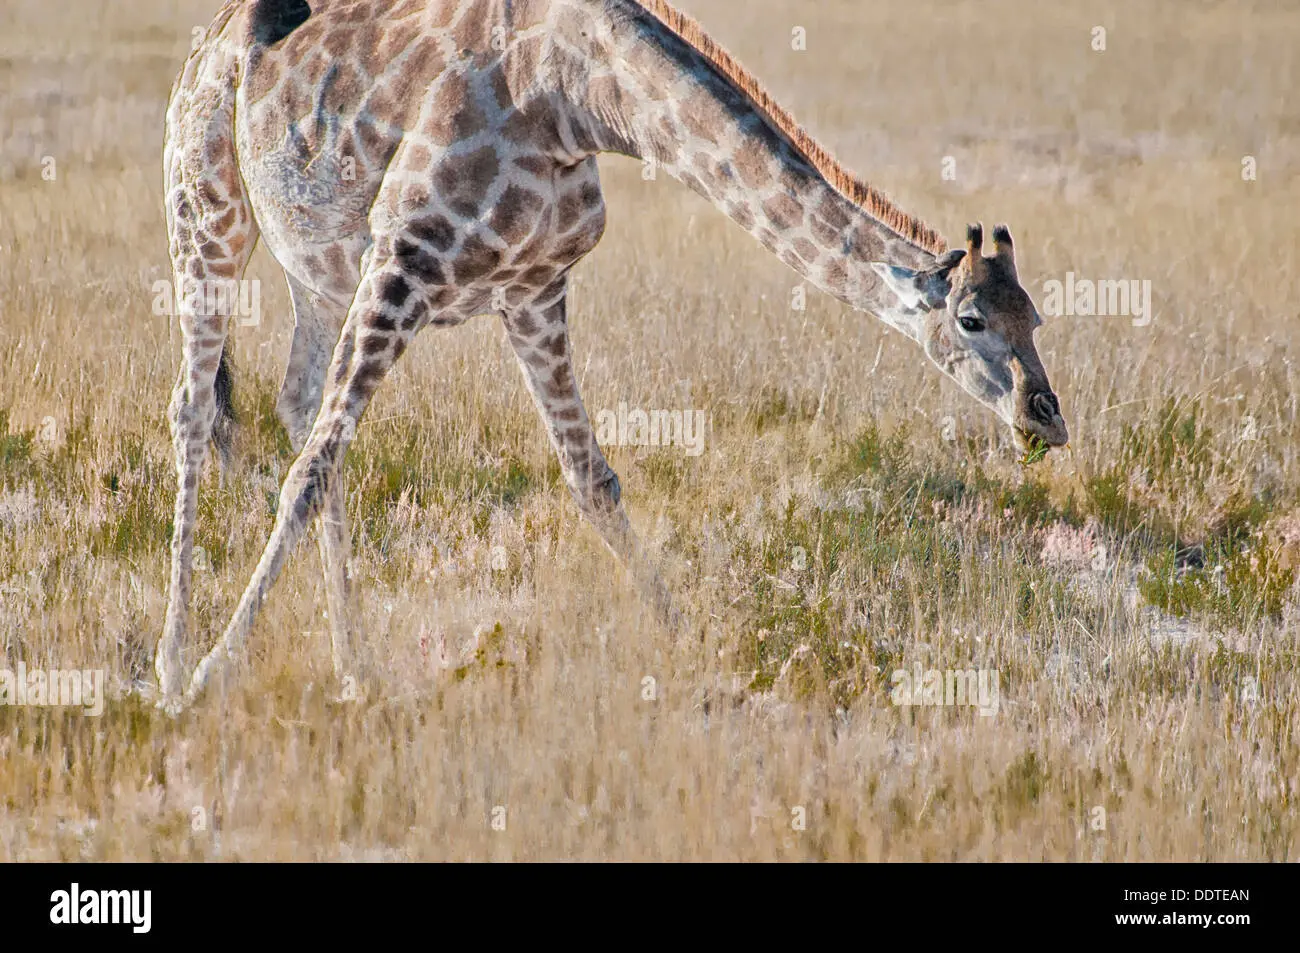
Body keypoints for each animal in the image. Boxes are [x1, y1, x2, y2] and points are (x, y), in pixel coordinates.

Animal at [156, 0, 1069, 706]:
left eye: (1037, 318)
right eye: (971, 321)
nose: (1047, 418)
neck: (579, 98)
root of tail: (209, 41)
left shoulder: (532, 289)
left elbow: (592, 479)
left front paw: (691, 647)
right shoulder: (405, 255)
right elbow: (305, 473)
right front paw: (213, 672)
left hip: (320, 271)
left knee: (298, 404)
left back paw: (354, 665)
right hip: (207, 213)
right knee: (199, 410)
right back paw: (172, 659)